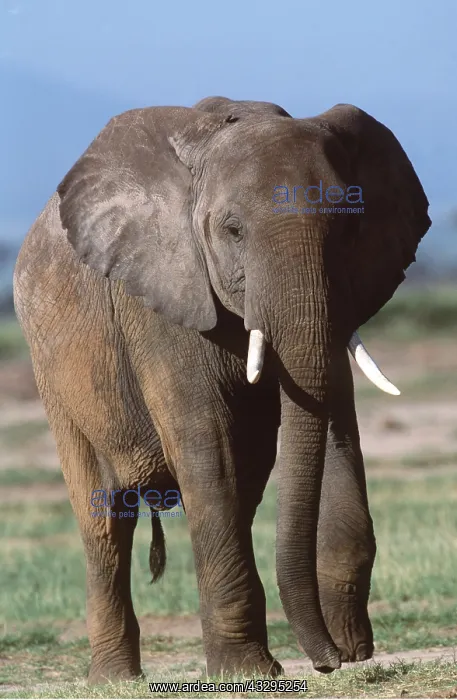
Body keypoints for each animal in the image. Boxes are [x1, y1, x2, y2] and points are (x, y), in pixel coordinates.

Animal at [13, 95, 431, 682]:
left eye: (348, 234)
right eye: (233, 231)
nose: (327, 663)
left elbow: (332, 421)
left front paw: (350, 649)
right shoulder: (161, 297)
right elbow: (209, 451)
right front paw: (249, 673)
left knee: (245, 484)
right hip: (52, 374)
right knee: (105, 521)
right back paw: (115, 679)